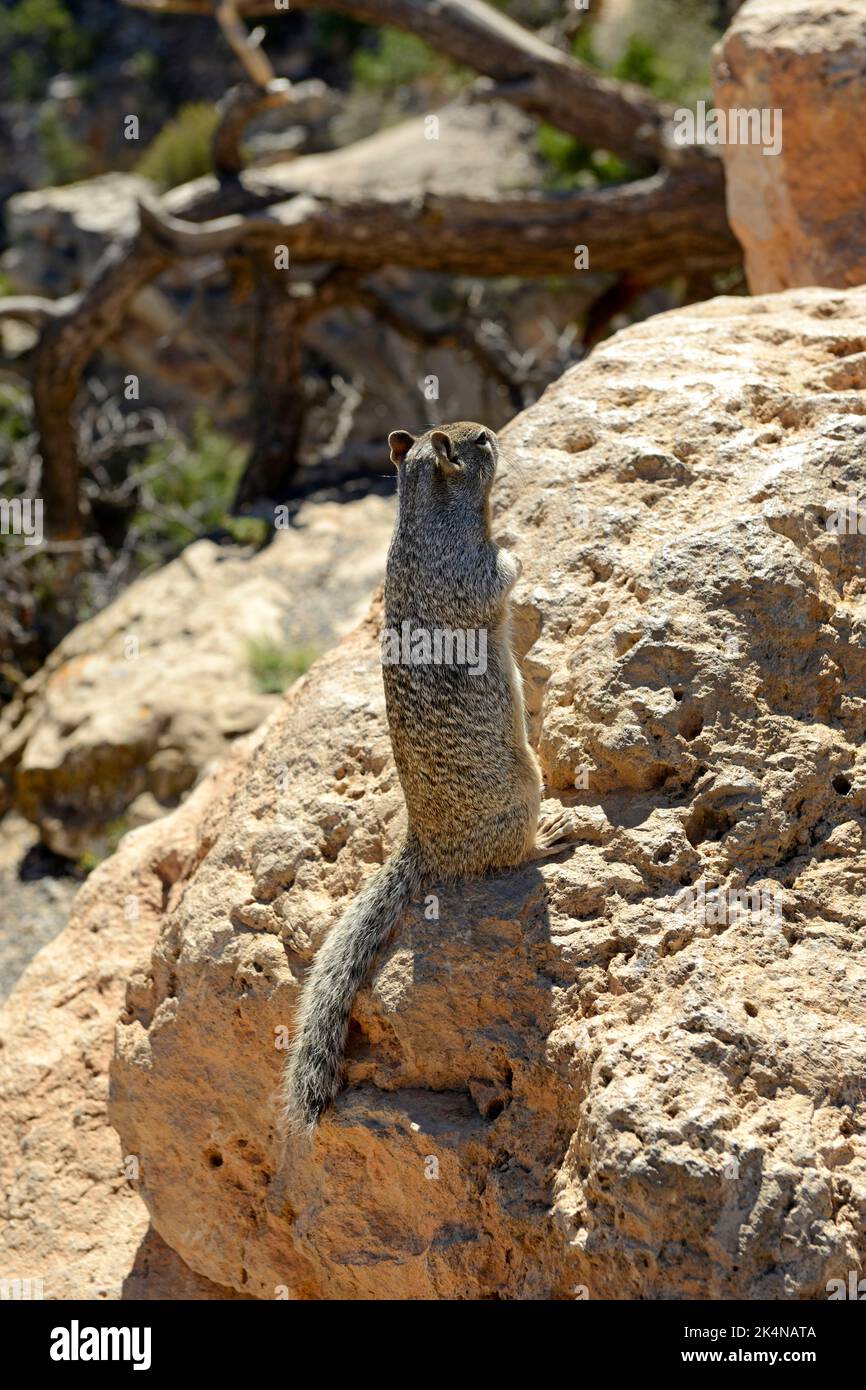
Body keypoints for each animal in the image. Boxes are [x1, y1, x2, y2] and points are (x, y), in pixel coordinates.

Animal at [280, 422, 573, 1132]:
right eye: (485, 441)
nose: (499, 434)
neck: (422, 518)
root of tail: (424, 845)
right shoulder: (473, 571)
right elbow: (504, 572)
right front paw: (517, 543)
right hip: (522, 791)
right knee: (510, 856)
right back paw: (550, 837)